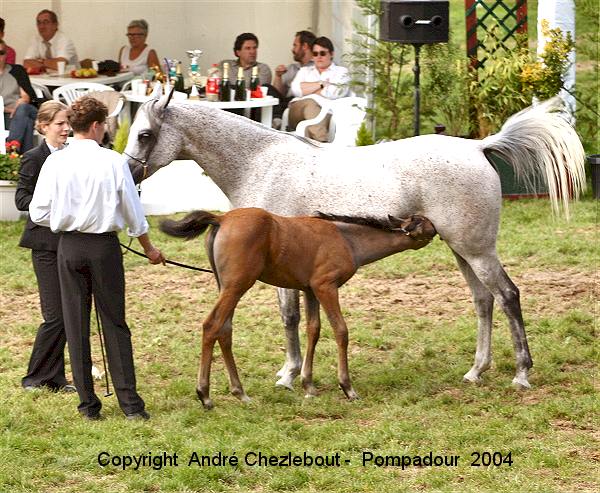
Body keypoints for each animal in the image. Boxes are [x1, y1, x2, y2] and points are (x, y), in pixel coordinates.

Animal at [161, 207, 436, 408]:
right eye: (423, 222)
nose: (437, 229)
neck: (347, 239)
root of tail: (221, 218)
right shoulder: (326, 287)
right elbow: (341, 330)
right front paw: (347, 388)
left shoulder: (309, 290)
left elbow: (313, 329)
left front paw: (308, 385)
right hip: (237, 285)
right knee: (212, 325)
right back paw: (205, 394)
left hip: (226, 286)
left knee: (225, 329)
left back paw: (240, 392)